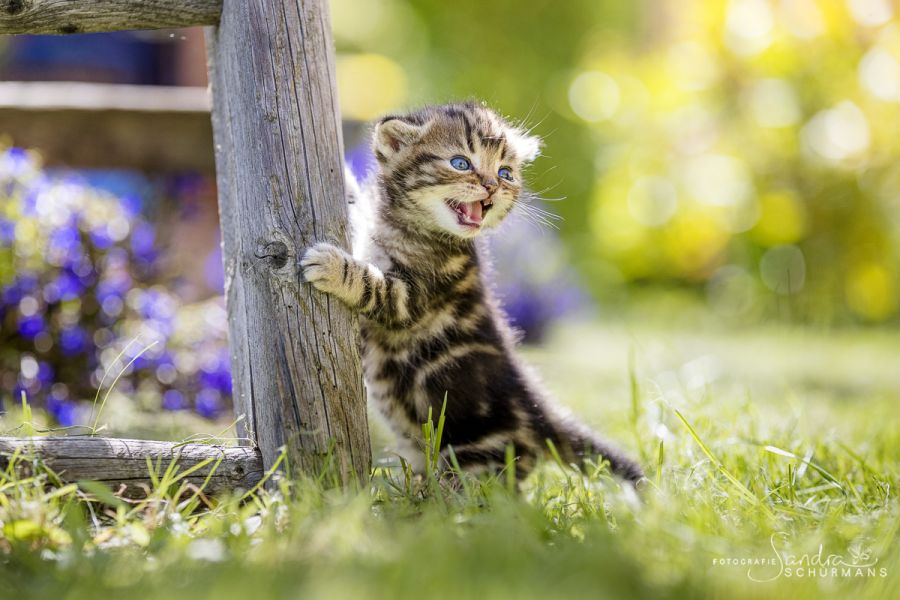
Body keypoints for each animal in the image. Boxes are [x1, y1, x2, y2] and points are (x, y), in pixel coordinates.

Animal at [306, 102, 644, 482]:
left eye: (505, 172)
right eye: (460, 163)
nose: (493, 186)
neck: (403, 225)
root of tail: (541, 416)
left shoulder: (414, 298)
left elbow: (373, 286)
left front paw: (332, 266)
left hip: (476, 454)